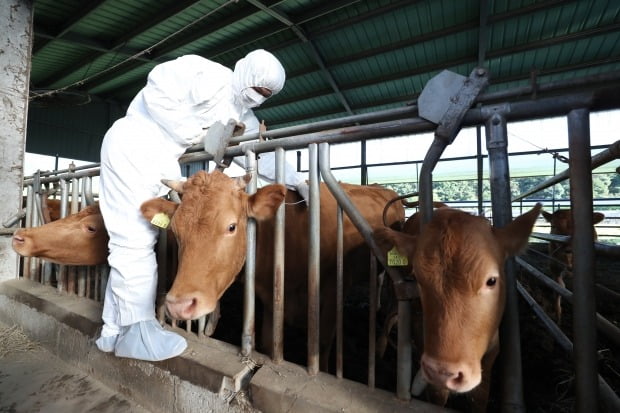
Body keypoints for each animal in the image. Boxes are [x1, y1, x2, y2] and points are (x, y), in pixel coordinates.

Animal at [140, 169, 404, 368]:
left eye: (231, 226)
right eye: (175, 230)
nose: (179, 305)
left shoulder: (333, 290)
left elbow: (322, 346)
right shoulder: (270, 300)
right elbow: (268, 343)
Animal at [370, 203, 540, 408]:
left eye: (491, 281)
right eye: (417, 279)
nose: (442, 372)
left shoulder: (492, 354)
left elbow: (479, 397)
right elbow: (437, 396)